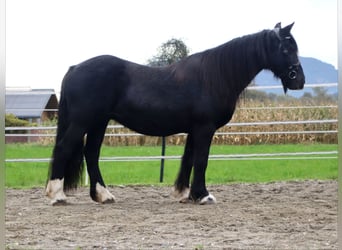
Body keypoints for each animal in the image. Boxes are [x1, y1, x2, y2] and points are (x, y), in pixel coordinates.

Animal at [45, 22, 304, 204]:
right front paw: (203, 195)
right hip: (83, 122)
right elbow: (201, 160)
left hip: (99, 122)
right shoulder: (205, 128)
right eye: (286, 48)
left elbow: (188, 159)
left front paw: (185, 193)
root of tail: (75, 68)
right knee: (64, 148)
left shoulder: (195, 129)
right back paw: (56, 195)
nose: (299, 80)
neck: (214, 77)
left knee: (91, 154)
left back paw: (103, 195)